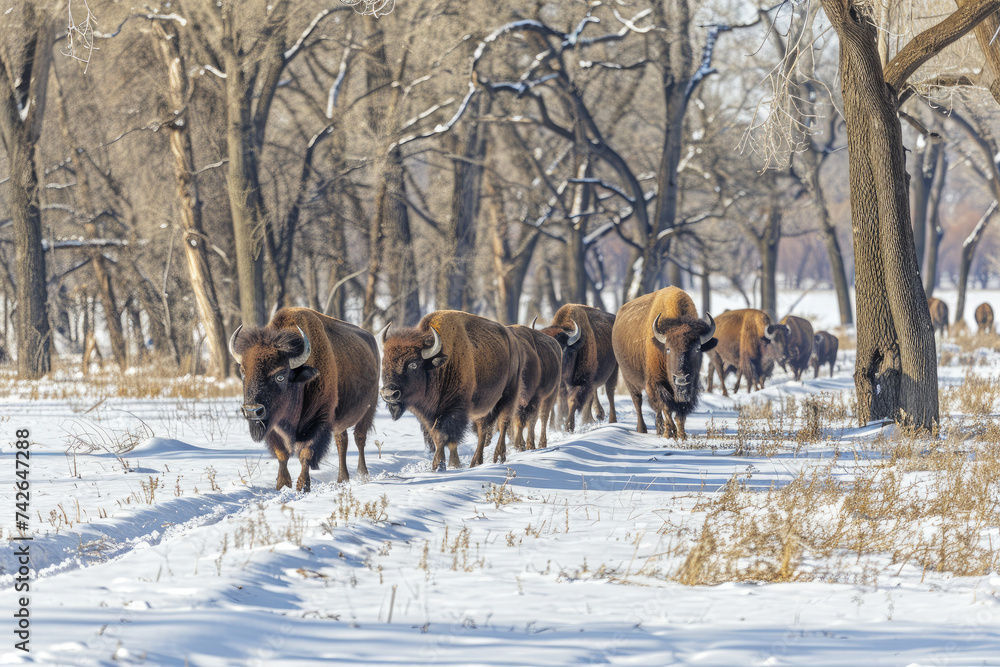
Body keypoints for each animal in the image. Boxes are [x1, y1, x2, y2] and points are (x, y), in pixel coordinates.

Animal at [229, 308, 380, 490]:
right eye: (243, 371)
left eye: (281, 376)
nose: (252, 411)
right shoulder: (273, 426)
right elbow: (282, 454)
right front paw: (282, 485)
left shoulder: (318, 420)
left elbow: (306, 453)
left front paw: (302, 486)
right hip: (340, 421)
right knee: (342, 441)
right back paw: (342, 478)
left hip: (369, 409)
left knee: (359, 438)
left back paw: (362, 475)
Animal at [378, 312, 524, 472]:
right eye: (384, 362)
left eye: (413, 364)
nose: (388, 394)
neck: (438, 367)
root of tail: (513, 341)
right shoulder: (428, 416)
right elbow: (438, 438)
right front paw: (440, 465)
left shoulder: (454, 410)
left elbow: (447, 438)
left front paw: (446, 465)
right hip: (483, 407)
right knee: (483, 431)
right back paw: (476, 462)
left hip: (509, 395)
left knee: (503, 424)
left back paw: (498, 457)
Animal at [508, 322, 564, 452]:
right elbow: (518, 421)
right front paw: (519, 445)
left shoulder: (535, 399)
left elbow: (530, 421)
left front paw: (529, 445)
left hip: (550, 395)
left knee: (543, 418)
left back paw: (541, 443)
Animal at [612, 286, 716, 438]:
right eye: (668, 349)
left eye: (697, 348)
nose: (681, 379)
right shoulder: (657, 383)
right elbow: (666, 408)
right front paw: (669, 434)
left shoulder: (691, 386)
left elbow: (680, 413)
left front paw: (681, 435)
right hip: (629, 380)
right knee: (638, 402)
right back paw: (642, 429)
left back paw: (659, 429)